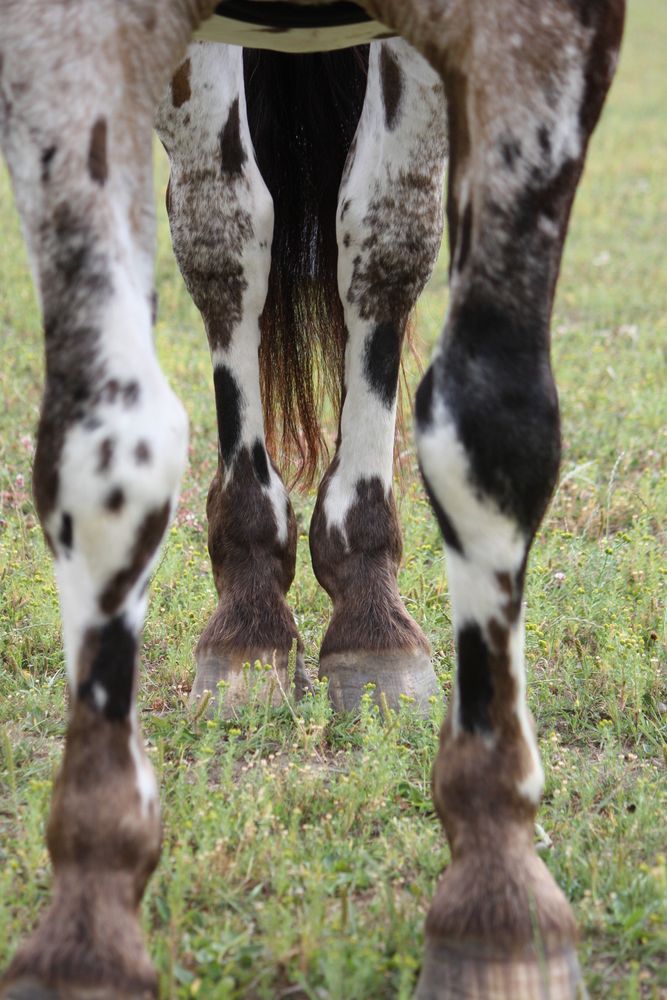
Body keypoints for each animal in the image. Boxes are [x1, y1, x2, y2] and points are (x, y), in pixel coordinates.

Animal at [0, 1, 628, 1000]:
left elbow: (487, 417)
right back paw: (251, 613)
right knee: (226, 231)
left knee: (379, 238)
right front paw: (86, 926)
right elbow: (106, 451)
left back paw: (368, 609)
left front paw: (500, 901)